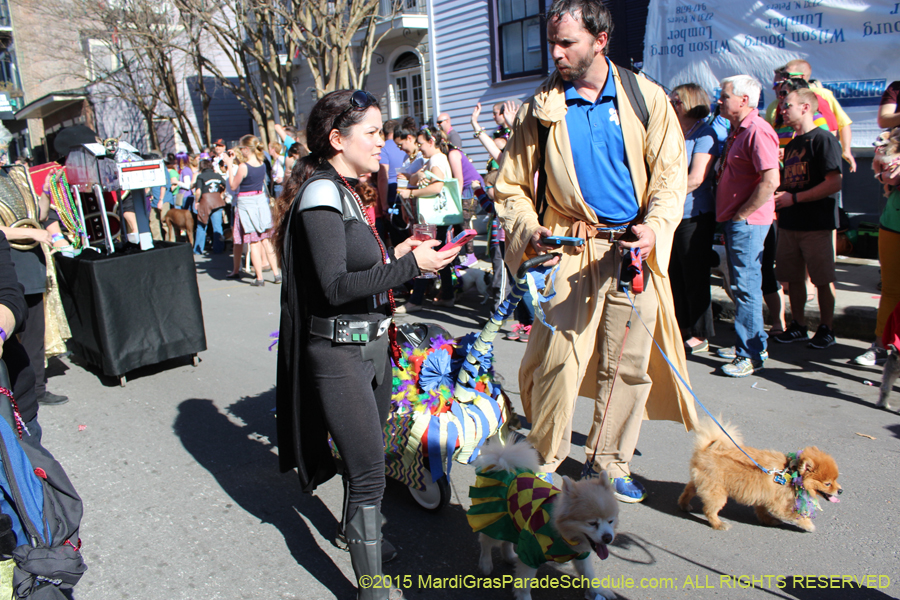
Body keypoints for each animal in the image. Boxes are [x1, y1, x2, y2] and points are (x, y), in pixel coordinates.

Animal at [680, 420, 840, 532]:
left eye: (836, 480)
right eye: (827, 483)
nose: (841, 490)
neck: (790, 474)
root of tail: (704, 450)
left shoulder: (764, 497)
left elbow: (762, 511)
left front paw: (769, 521)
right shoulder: (779, 505)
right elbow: (796, 515)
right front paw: (808, 525)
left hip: (701, 482)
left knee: (688, 491)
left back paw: (684, 505)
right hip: (717, 493)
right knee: (709, 510)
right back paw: (719, 524)